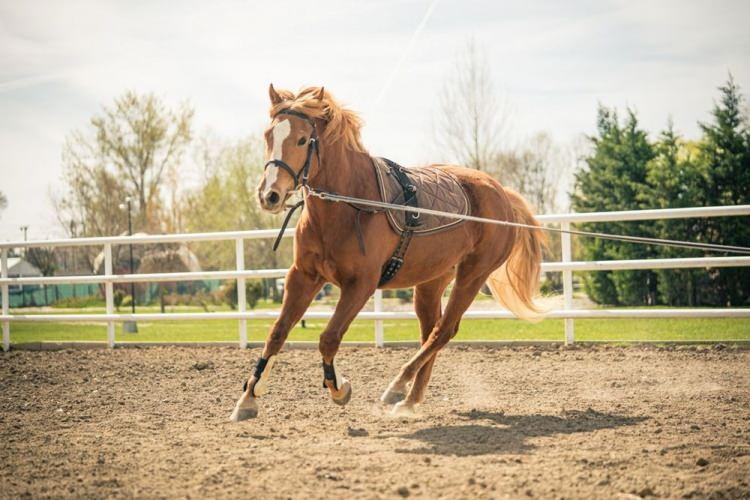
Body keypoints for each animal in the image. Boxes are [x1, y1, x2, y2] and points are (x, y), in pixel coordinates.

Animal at [229, 86, 548, 422]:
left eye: (303, 140)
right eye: (268, 136)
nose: (270, 195)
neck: (351, 202)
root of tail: (502, 193)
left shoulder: (360, 285)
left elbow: (329, 337)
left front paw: (339, 388)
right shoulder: (303, 276)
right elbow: (277, 333)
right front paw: (248, 399)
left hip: (473, 276)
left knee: (443, 331)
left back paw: (397, 386)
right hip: (431, 283)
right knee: (430, 332)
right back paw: (410, 399)